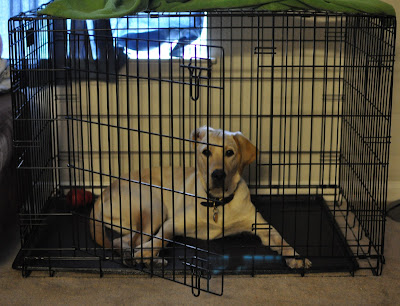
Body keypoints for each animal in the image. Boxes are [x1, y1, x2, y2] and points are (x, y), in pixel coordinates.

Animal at [90, 125, 312, 268]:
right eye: (206, 152)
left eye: (230, 152)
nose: (218, 175)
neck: (218, 203)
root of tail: (105, 190)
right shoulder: (172, 223)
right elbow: (161, 239)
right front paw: (147, 252)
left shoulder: (263, 227)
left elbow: (282, 240)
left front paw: (296, 257)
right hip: (154, 207)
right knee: (132, 241)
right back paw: (142, 256)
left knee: (123, 241)